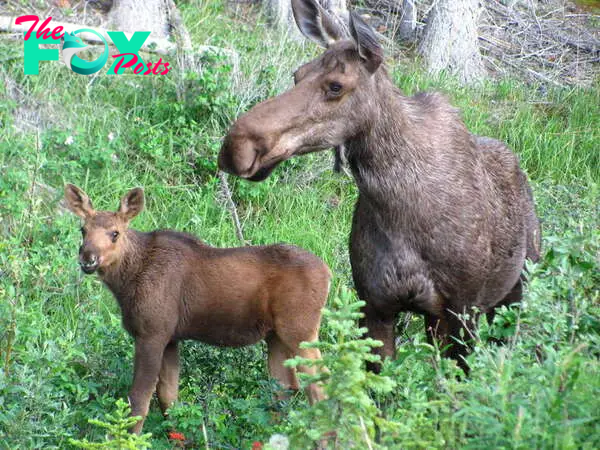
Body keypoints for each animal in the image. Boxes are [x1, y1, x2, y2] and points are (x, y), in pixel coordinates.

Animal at [63, 183, 330, 432]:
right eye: (82, 230)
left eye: (115, 233)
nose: (88, 258)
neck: (126, 283)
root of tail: (328, 273)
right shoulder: (171, 338)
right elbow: (169, 398)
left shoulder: (152, 333)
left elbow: (138, 400)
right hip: (276, 336)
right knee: (285, 388)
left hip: (301, 331)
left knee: (320, 386)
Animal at [218, 0, 540, 370]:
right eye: (297, 74)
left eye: (336, 85)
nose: (236, 146)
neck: (399, 207)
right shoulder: (375, 305)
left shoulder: (463, 309)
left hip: (515, 290)